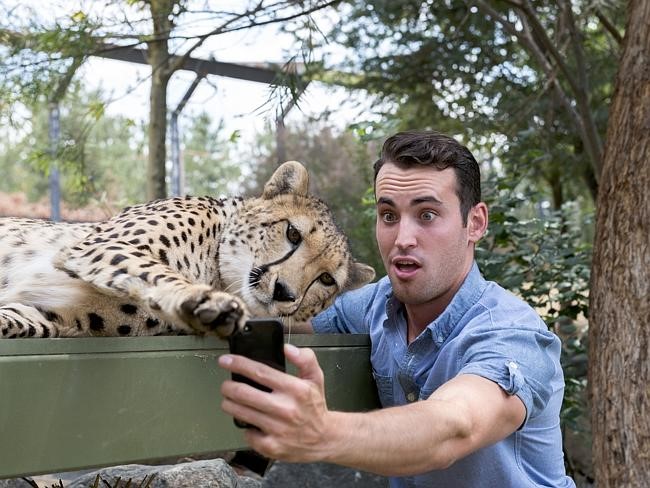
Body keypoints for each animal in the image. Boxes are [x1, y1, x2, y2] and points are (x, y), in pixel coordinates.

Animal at [0, 161, 375, 339]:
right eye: (293, 233)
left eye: (326, 280)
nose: (284, 292)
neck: (220, 272)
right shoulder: (105, 244)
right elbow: (157, 271)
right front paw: (208, 302)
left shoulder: (56, 316)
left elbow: (20, 320)